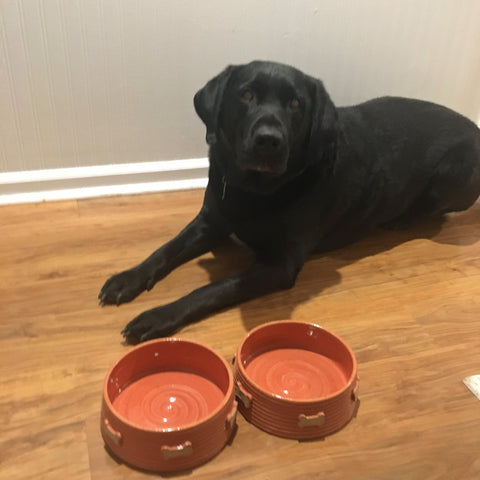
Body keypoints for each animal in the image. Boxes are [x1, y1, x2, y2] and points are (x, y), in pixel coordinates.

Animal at [97, 61, 480, 342]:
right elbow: (166, 249)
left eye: (296, 103)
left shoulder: (278, 265)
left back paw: (403, 219)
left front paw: (158, 316)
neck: (254, 189)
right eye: (246, 94)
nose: (269, 140)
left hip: (451, 174)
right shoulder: (211, 221)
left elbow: (212, 289)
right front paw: (127, 279)